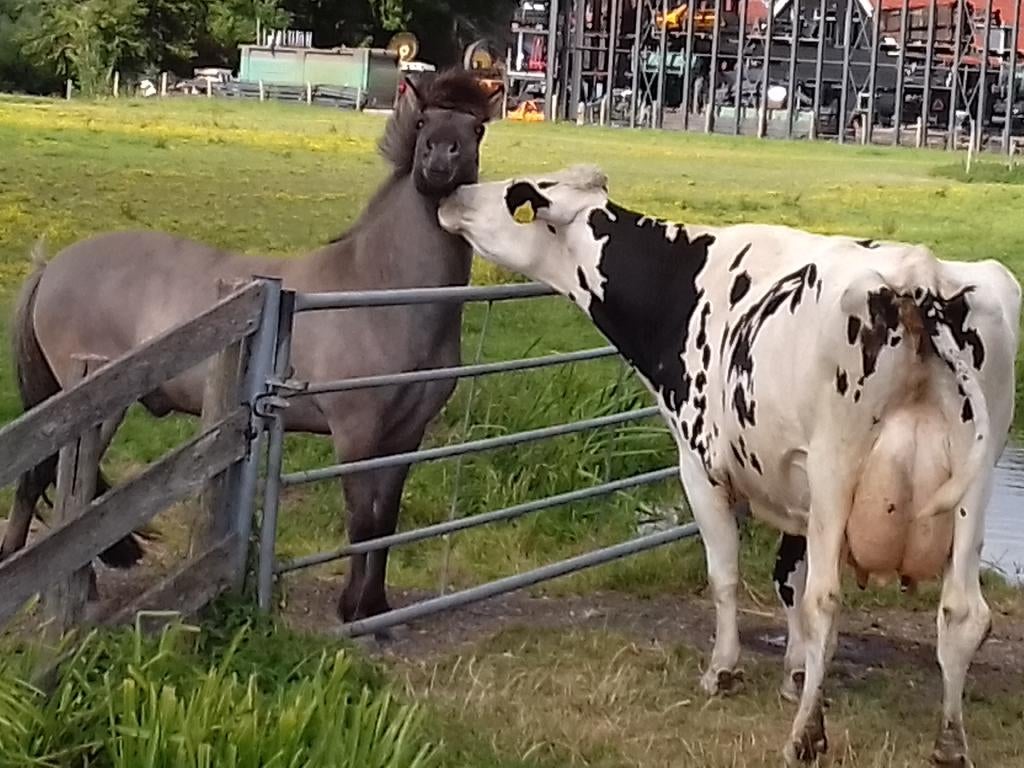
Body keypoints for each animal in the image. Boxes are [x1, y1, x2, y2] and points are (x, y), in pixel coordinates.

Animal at [2, 68, 503, 625]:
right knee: (61, 485)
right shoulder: (356, 432)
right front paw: (352, 611)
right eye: (422, 123)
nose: (440, 161)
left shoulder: (406, 434)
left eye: (477, 129)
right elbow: (361, 520)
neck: (381, 291)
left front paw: (376, 607)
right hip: (94, 408)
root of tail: (52, 267)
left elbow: (386, 522)